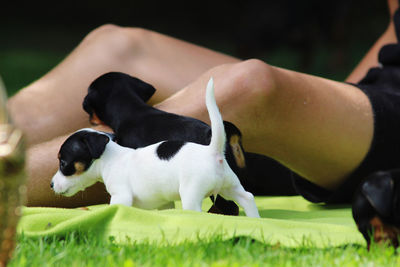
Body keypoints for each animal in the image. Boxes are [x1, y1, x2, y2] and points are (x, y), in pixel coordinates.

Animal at [50, 78, 260, 218]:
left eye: (63, 163)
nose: (51, 184)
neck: (111, 158)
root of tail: (212, 151)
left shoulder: (120, 196)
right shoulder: (165, 202)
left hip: (192, 195)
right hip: (230, 187)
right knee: (248, 198)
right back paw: (255, 221)